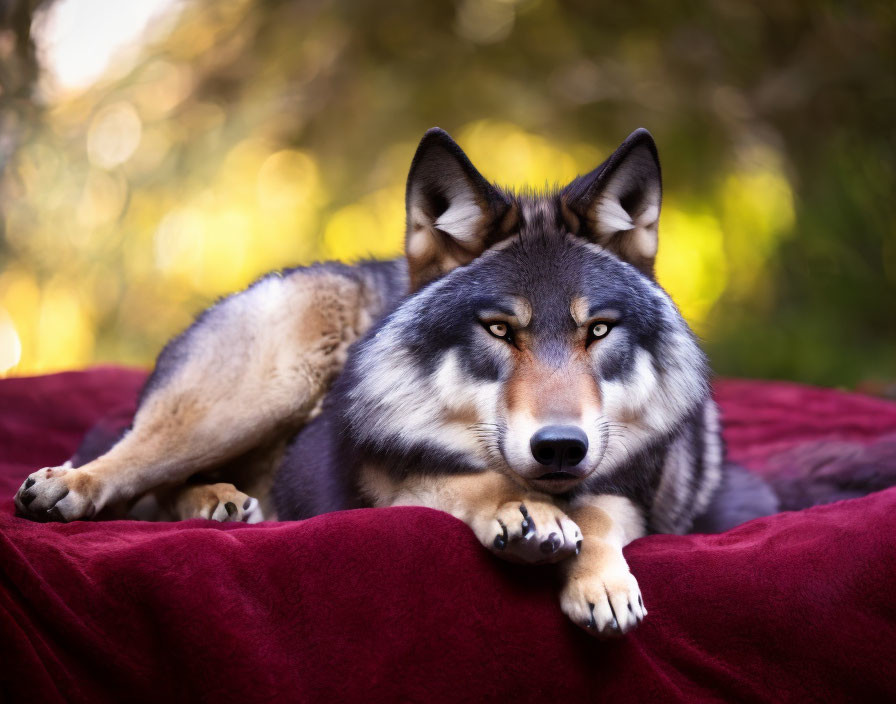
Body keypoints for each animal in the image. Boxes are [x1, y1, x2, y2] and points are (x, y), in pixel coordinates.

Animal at [14, 128, 772, 640]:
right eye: (500, 330)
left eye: (599, 330)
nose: (561, 447)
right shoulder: (379, 486)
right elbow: (468, 481)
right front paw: (524, 514)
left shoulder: (641, 489)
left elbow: (601, 513)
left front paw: (598, 577)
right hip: (265, 385)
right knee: (133, 462)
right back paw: (72, 487)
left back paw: (219, 503)